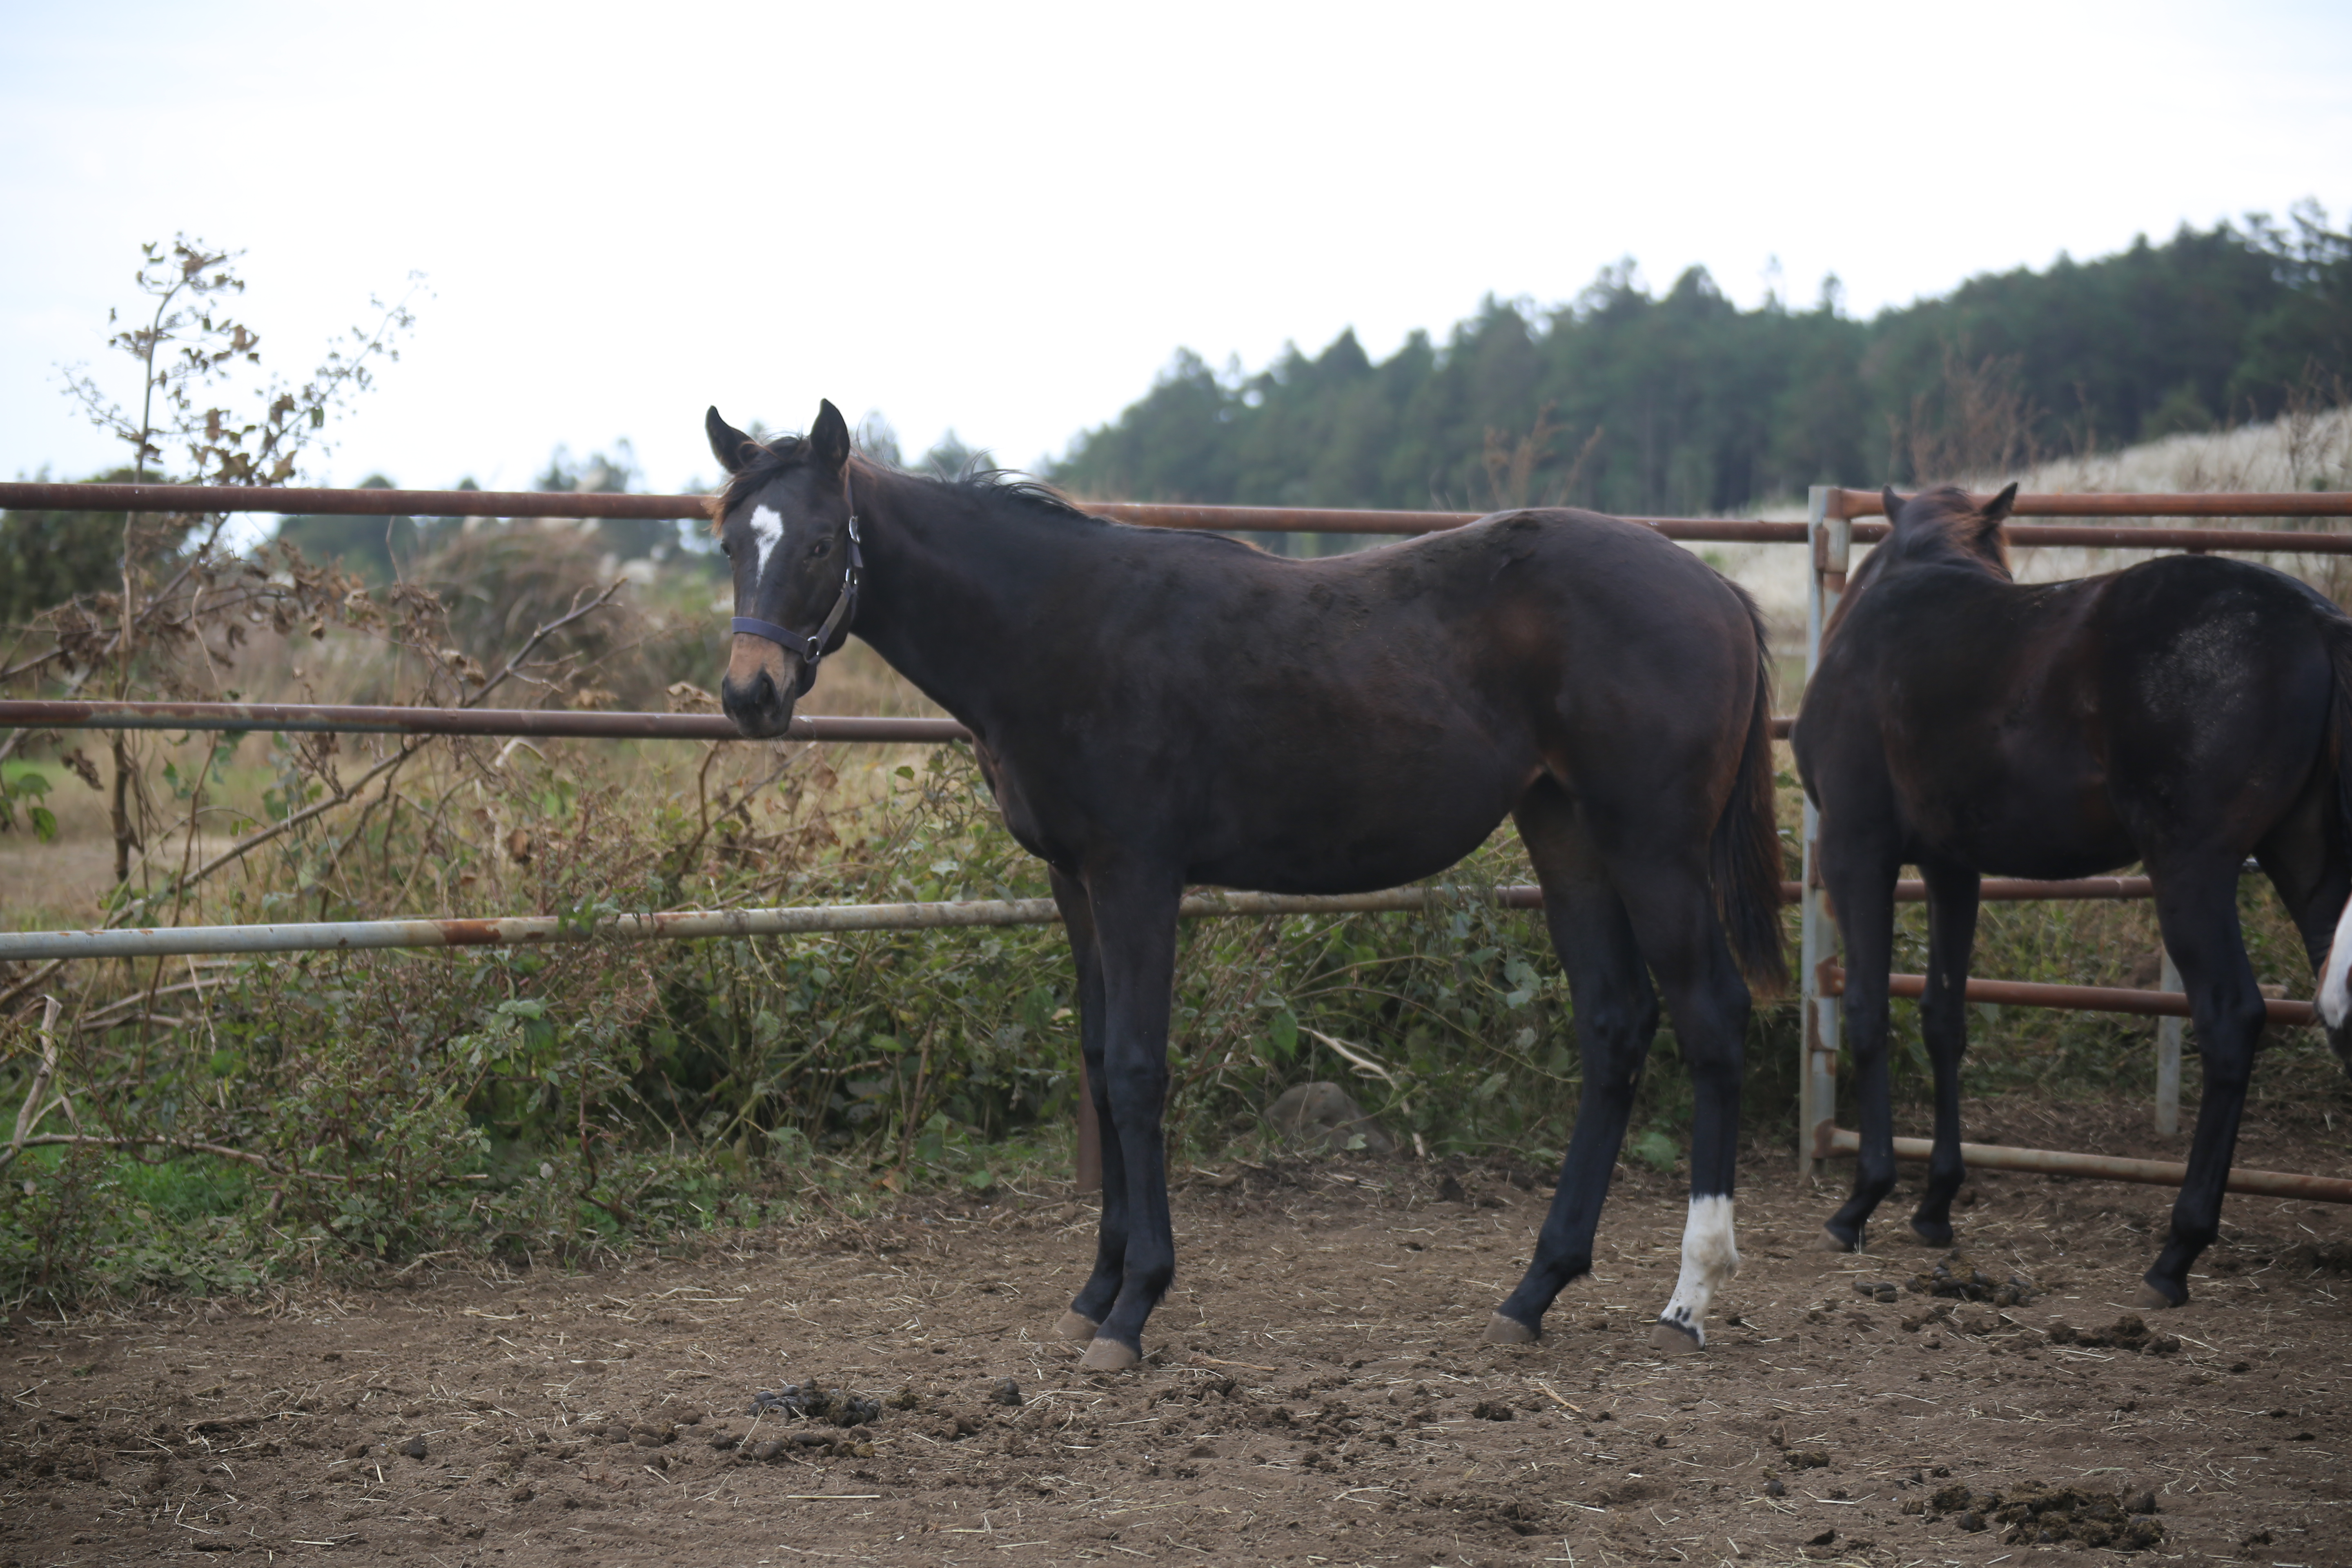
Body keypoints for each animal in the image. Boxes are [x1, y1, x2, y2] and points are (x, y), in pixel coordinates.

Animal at [710, 409, 1778, 1373]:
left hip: (1654, 848)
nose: (750, 694)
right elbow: (1097, 1061)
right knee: (1614, 1026)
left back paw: (1689, 1296)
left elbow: (1136, 1070)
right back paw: (1531, 1293)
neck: (1056, 626)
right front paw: (1093, 1291)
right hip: (1566, 835)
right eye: (728, 542)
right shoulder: (1072, 881)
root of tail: (1717, 589)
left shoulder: (1136, 873)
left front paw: (1133, 1307)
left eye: (818, 540)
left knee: (1713, 1021)